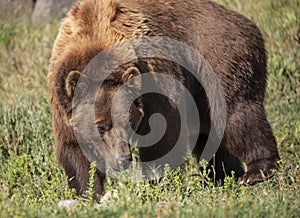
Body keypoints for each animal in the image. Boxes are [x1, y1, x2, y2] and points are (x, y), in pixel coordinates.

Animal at [48, 0, 280, 196]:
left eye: (128, 122)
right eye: (101, 126)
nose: (123, 159)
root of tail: (244, 21)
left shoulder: (153, 80)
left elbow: (163, 133)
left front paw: (153, 182)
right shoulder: (63, 104)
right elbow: (75, 149)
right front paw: (87, 193)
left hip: (220, 61)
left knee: (237, 115)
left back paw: (256, 171)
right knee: (208, 132)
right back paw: (222, 175)